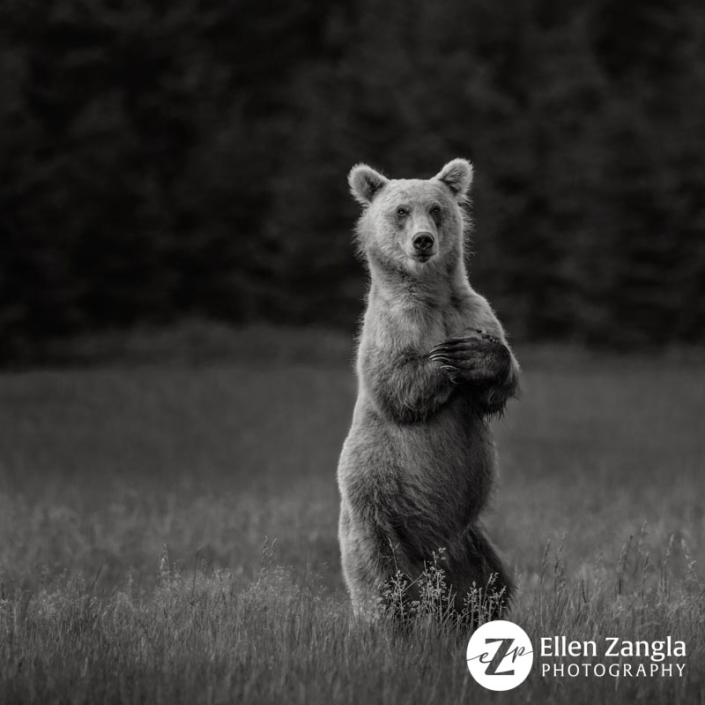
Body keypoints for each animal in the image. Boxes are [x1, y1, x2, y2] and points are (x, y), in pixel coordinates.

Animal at [338, 158, 520, 620]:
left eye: (436, 209)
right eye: (401, 210)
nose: (423, 241)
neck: (433, 296)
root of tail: (432, 556)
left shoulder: (473, 309)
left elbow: (499, 379)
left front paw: (475, 355)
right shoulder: (390, 327)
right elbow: (395, 385)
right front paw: (445, 359)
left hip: (471, 541)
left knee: (491, 586)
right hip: (378, 513)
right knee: (385, 585)